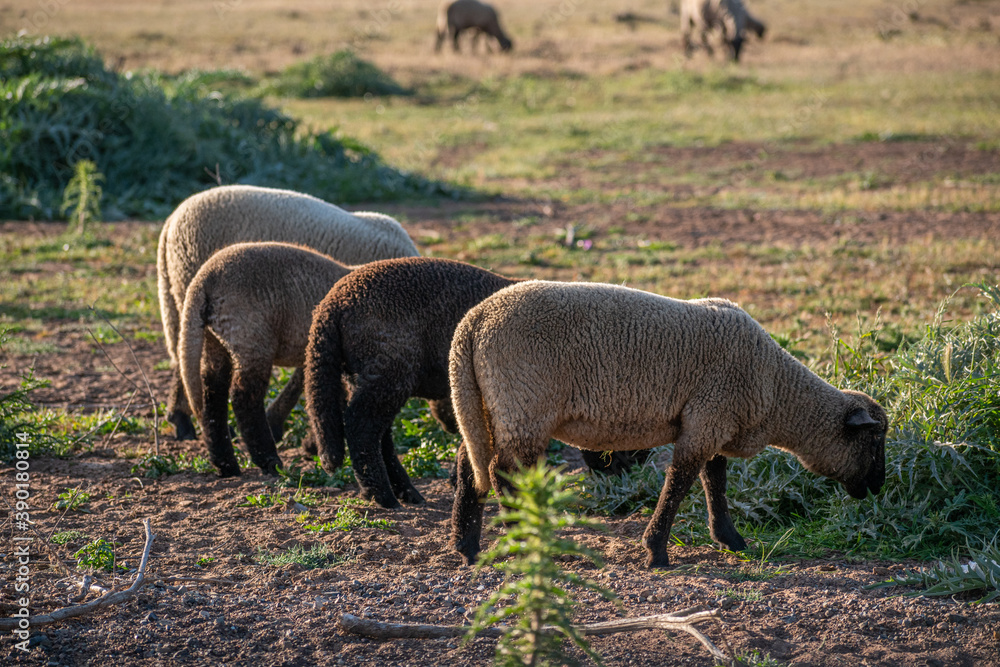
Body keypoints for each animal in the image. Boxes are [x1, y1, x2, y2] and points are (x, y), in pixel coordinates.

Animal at [157, 184, 419, 443]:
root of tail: (170, 222)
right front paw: (279, 425)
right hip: (190, 282)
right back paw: (185, 421)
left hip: (182, 293)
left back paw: (183, 418)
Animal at [178, 242, 352, 477]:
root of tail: (203, 280)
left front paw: (312, 446)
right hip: (252, 337)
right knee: (244, 398)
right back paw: (269, 461)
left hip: (215, 340)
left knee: (213, 395)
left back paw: (226, 464)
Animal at [448, 281, 887, 568]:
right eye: (873, 441)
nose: (878, 488)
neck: (777, 388)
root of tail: (473, 322)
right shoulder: (710, 415)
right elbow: (680, 483)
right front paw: (657, 551)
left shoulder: (714, 421)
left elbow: (715, 482)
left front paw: (729, 539)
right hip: (524, 403)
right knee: (500, 471)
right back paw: (522, 541)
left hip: (489, 404)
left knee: (469, 461)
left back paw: (466, 545)